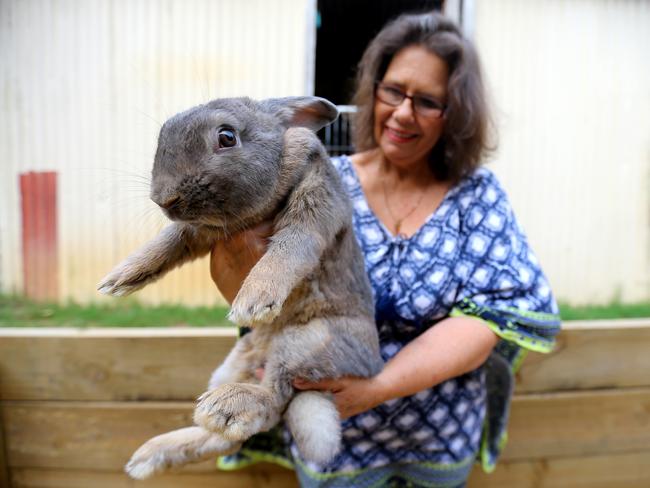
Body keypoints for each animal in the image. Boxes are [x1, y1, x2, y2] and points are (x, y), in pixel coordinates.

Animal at [98, 96, 382, 480]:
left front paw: (253, 301)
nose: (164, 199)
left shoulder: (314, 204)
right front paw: (120, 279)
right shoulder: (198, 231)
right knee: (225, 439)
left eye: (227, 137)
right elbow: (168, 242)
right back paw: (149, 455)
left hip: (308, 340)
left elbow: (289, 249)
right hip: (234, 361)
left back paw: (225, 406)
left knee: (274, 401)